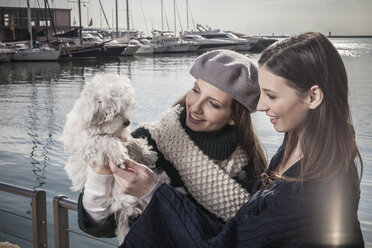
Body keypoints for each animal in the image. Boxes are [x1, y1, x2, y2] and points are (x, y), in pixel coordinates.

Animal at [62, 73, 158, 242]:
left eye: (124, 108)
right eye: (113, 113)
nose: (127, 121)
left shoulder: (120, 135)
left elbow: (130, 142)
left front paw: (146, 153)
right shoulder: (89, 143)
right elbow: (106, 140)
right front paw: (119, 155)